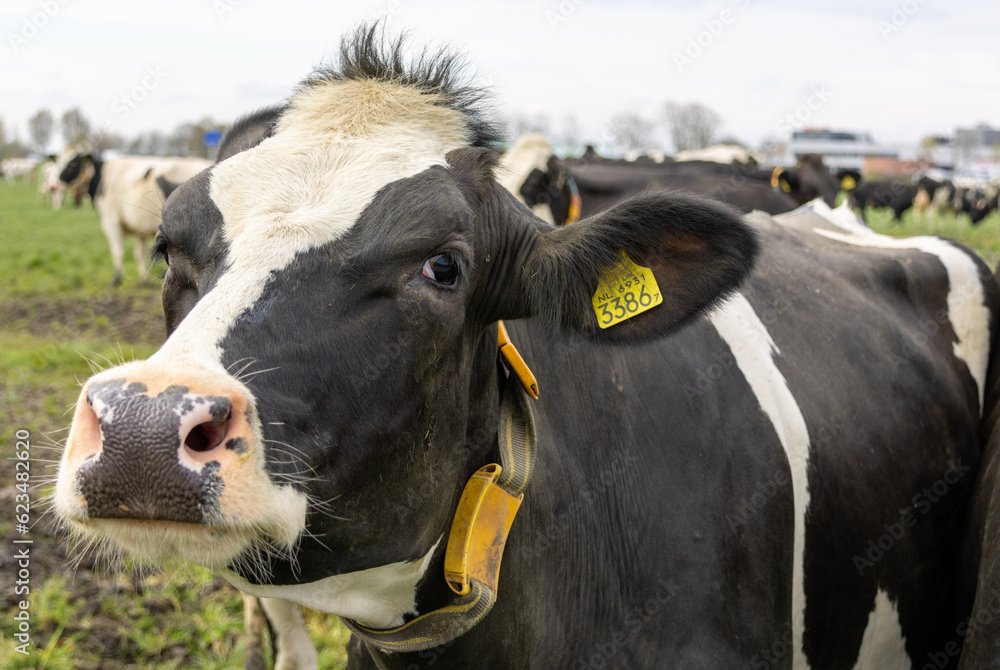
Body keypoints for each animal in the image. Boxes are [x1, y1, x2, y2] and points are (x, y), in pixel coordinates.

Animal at [59, 155, 213, 286]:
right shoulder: (141, 229)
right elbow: (140, 254)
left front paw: (117, 279)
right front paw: (143, 279)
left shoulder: (112, 222)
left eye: (72, 164)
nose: (56, 181)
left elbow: (117, 251)